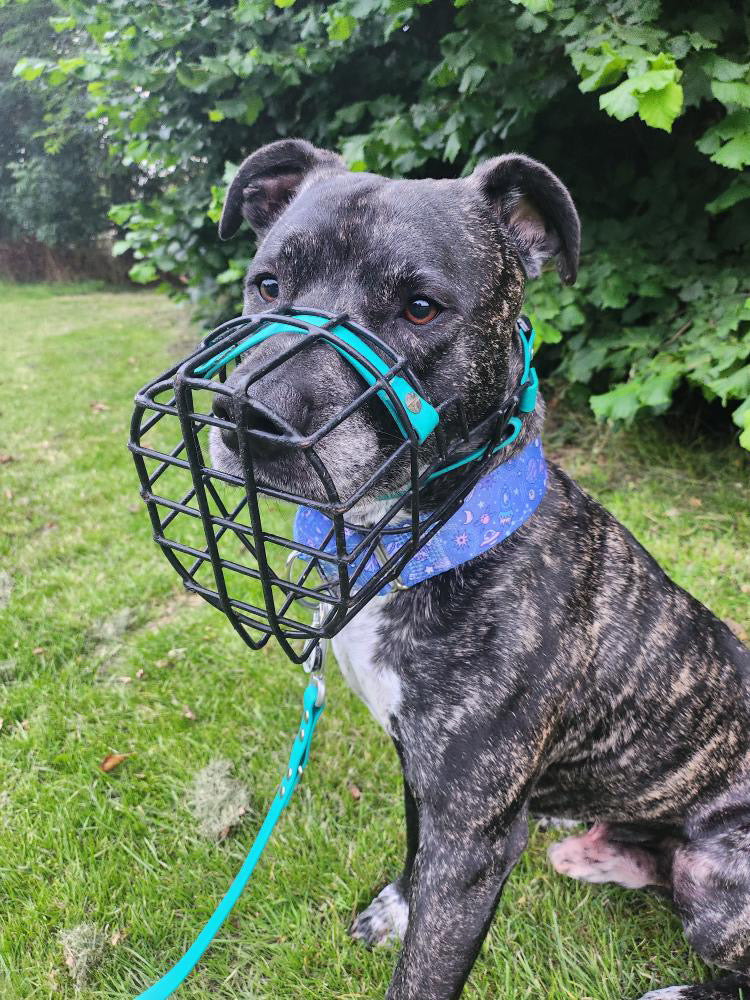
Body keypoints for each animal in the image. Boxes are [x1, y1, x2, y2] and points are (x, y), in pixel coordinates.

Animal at [209, 139, 750, 1000]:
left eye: (420, 308)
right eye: (267, 285)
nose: (247, 415)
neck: (428, 542)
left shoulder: (472, 842)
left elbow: (426, 971)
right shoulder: (426, 777)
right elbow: (412, 847)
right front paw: (397, 907)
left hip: (716, 873)